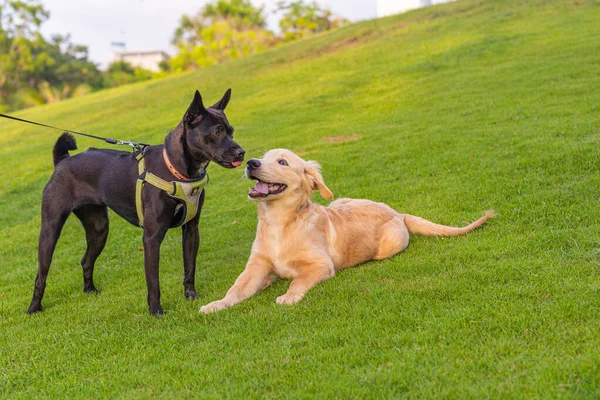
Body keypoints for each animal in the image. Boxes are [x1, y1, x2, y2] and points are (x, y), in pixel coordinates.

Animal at [28, 89, 244, 314]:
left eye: (231, 132)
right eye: (217, 133)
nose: (241, 152)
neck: (175, 169)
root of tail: (62, 161)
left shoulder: (192, 230)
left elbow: (189, 268)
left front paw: (190, 296)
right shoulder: (151, 237)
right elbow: (153, 280)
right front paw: (156, 311)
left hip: (99, 229)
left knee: (86, 260)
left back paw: (90, 290)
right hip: (50, 230)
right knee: (40, 276)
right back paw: (34, 308)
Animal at [202, 150, 492, 312]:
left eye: (282, 162)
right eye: (262, 157)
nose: (250, 162)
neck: (280, 223)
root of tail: (398, 213)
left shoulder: (320, 265)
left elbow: (299, 280)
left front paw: (289, 296)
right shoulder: (256, 267)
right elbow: (235, 289)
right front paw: (216, 304)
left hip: (387, 246)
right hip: (340, 201)